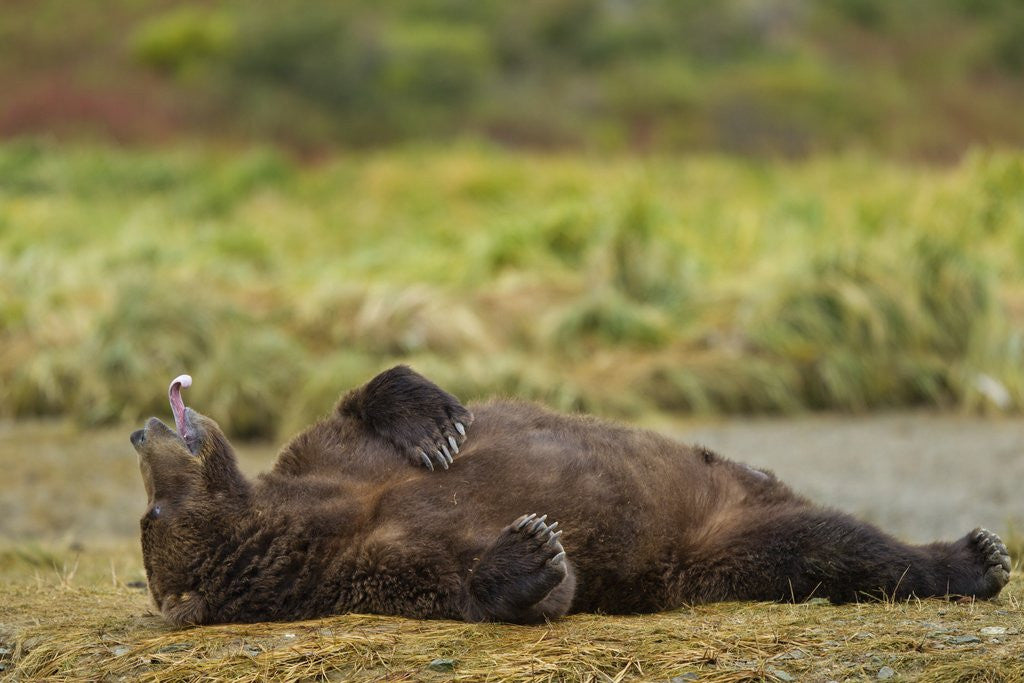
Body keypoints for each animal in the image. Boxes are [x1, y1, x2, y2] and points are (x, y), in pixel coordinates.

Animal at [130, 365, 1012, 626]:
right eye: (152, 515)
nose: (138, 432)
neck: (305, 517)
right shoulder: (365, 567)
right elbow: (491, 583)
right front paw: (532, 549)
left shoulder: (331, 458)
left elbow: (362, 403)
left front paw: (436, 421)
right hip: (713, 548)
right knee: (822, 547)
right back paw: (974, 559)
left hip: (724, 485)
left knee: (844, 536)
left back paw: (976, 551)